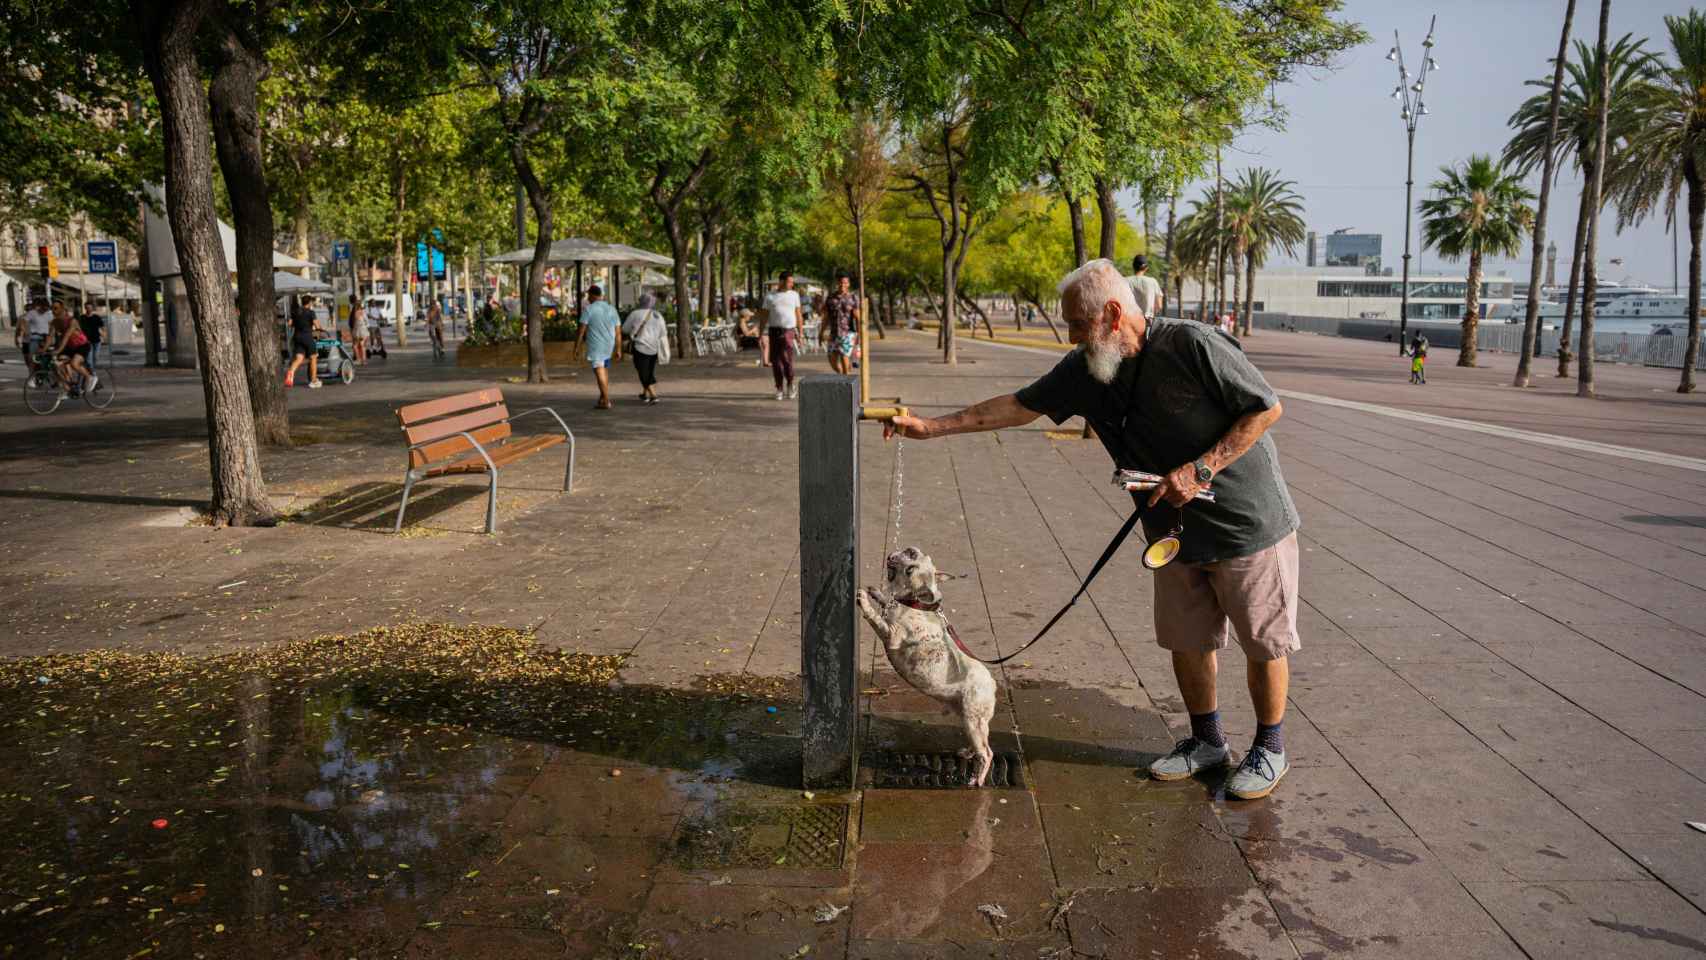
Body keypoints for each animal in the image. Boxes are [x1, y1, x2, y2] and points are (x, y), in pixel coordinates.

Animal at [853, 549, 996, 787]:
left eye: (911, 569)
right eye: (910, 551)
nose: (894, 557)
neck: (913, 602)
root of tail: (993, 685)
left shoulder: (891, 634)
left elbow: (875, 618)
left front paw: (865, 600)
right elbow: (886, 602)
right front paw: (877, 593)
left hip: (974, 719)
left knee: (987, 753)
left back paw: (977, 778)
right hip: (969, 720)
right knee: (980, 744)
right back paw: (967, 753)